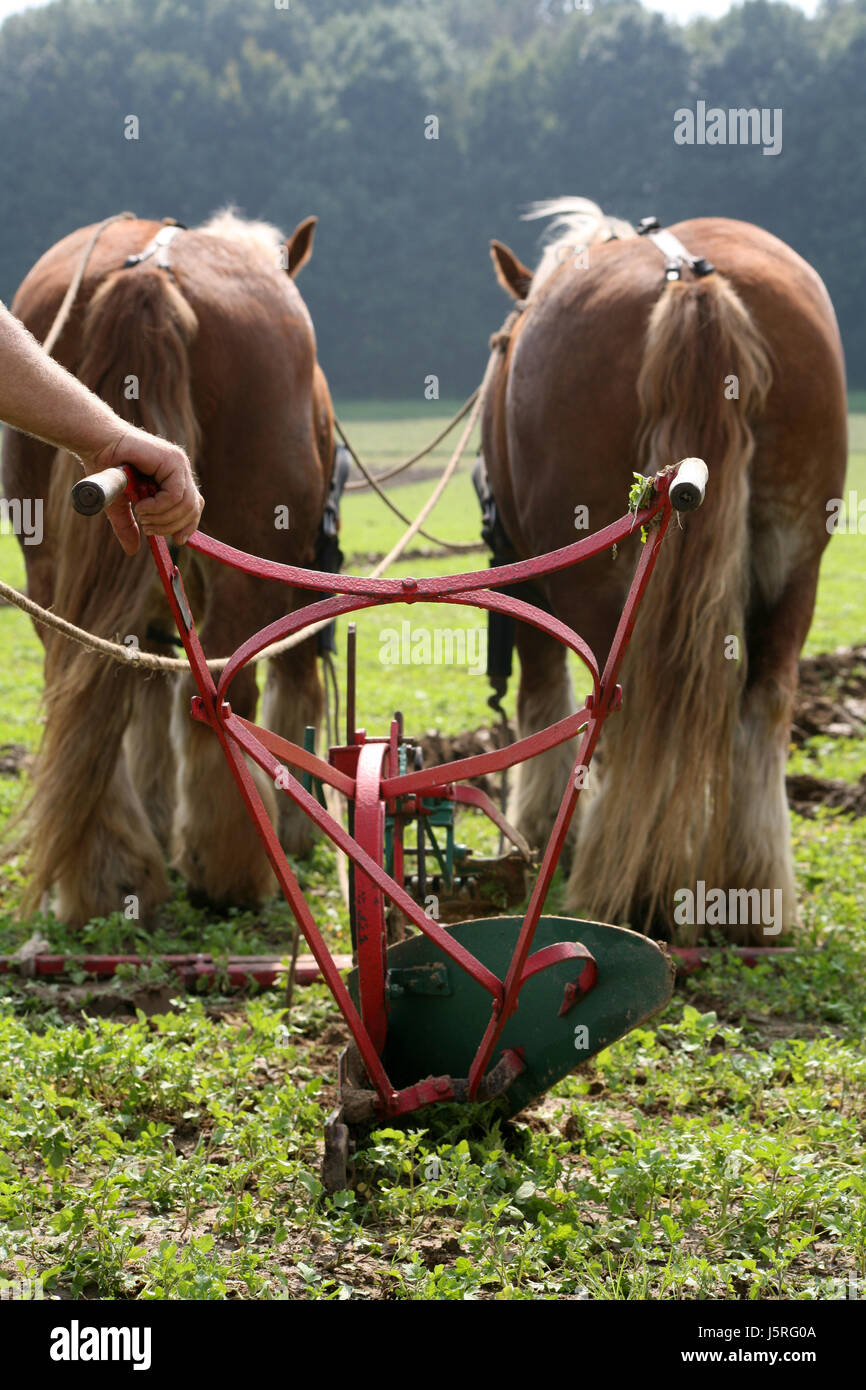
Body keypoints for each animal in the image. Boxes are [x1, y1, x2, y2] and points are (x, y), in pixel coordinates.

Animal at [2, 209, 334, 927]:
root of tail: (151, 271)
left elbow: (143, 699)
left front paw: (158, 822)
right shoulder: (299, 576)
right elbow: (294, 682)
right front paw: (296, 825)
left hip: (48, 564)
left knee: (80, 680)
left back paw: (111, 875)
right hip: (254, 562)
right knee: (219, 689)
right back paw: (233, 872)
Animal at [482, 198, 847, 945]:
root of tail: (693, 281)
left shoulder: (530, 570)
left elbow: (540, 688)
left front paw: (540, 824)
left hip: (595, 573)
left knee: (614, 706)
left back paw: (627, 888)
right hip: (797, 563)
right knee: (767, 699)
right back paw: (755, 894)